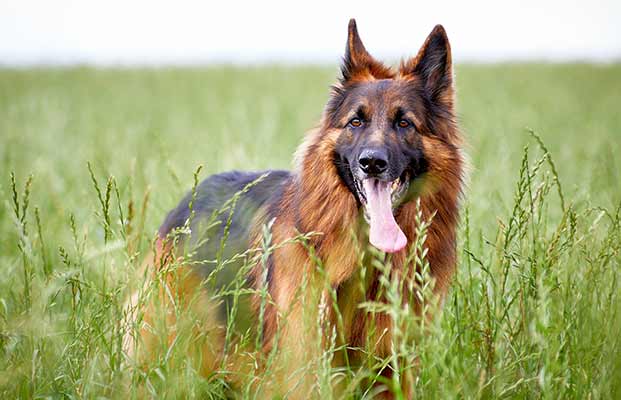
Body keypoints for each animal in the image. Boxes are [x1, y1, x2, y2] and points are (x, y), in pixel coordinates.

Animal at [126, 19, 462, 400]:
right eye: (356, 122)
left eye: (405, 123)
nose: (372, 163)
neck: (365, 260)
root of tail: (188, 200)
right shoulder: (303, 367)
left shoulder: (393, 370)